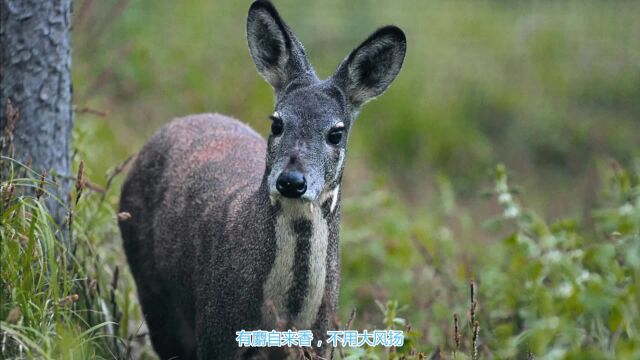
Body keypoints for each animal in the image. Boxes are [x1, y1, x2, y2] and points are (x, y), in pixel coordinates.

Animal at [118, 1, 408, 358]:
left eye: (336, 133)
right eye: (277, 123)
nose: (292, 181)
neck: (286, 314)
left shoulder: (321, 338)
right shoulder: (216, 329)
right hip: (152, 288)